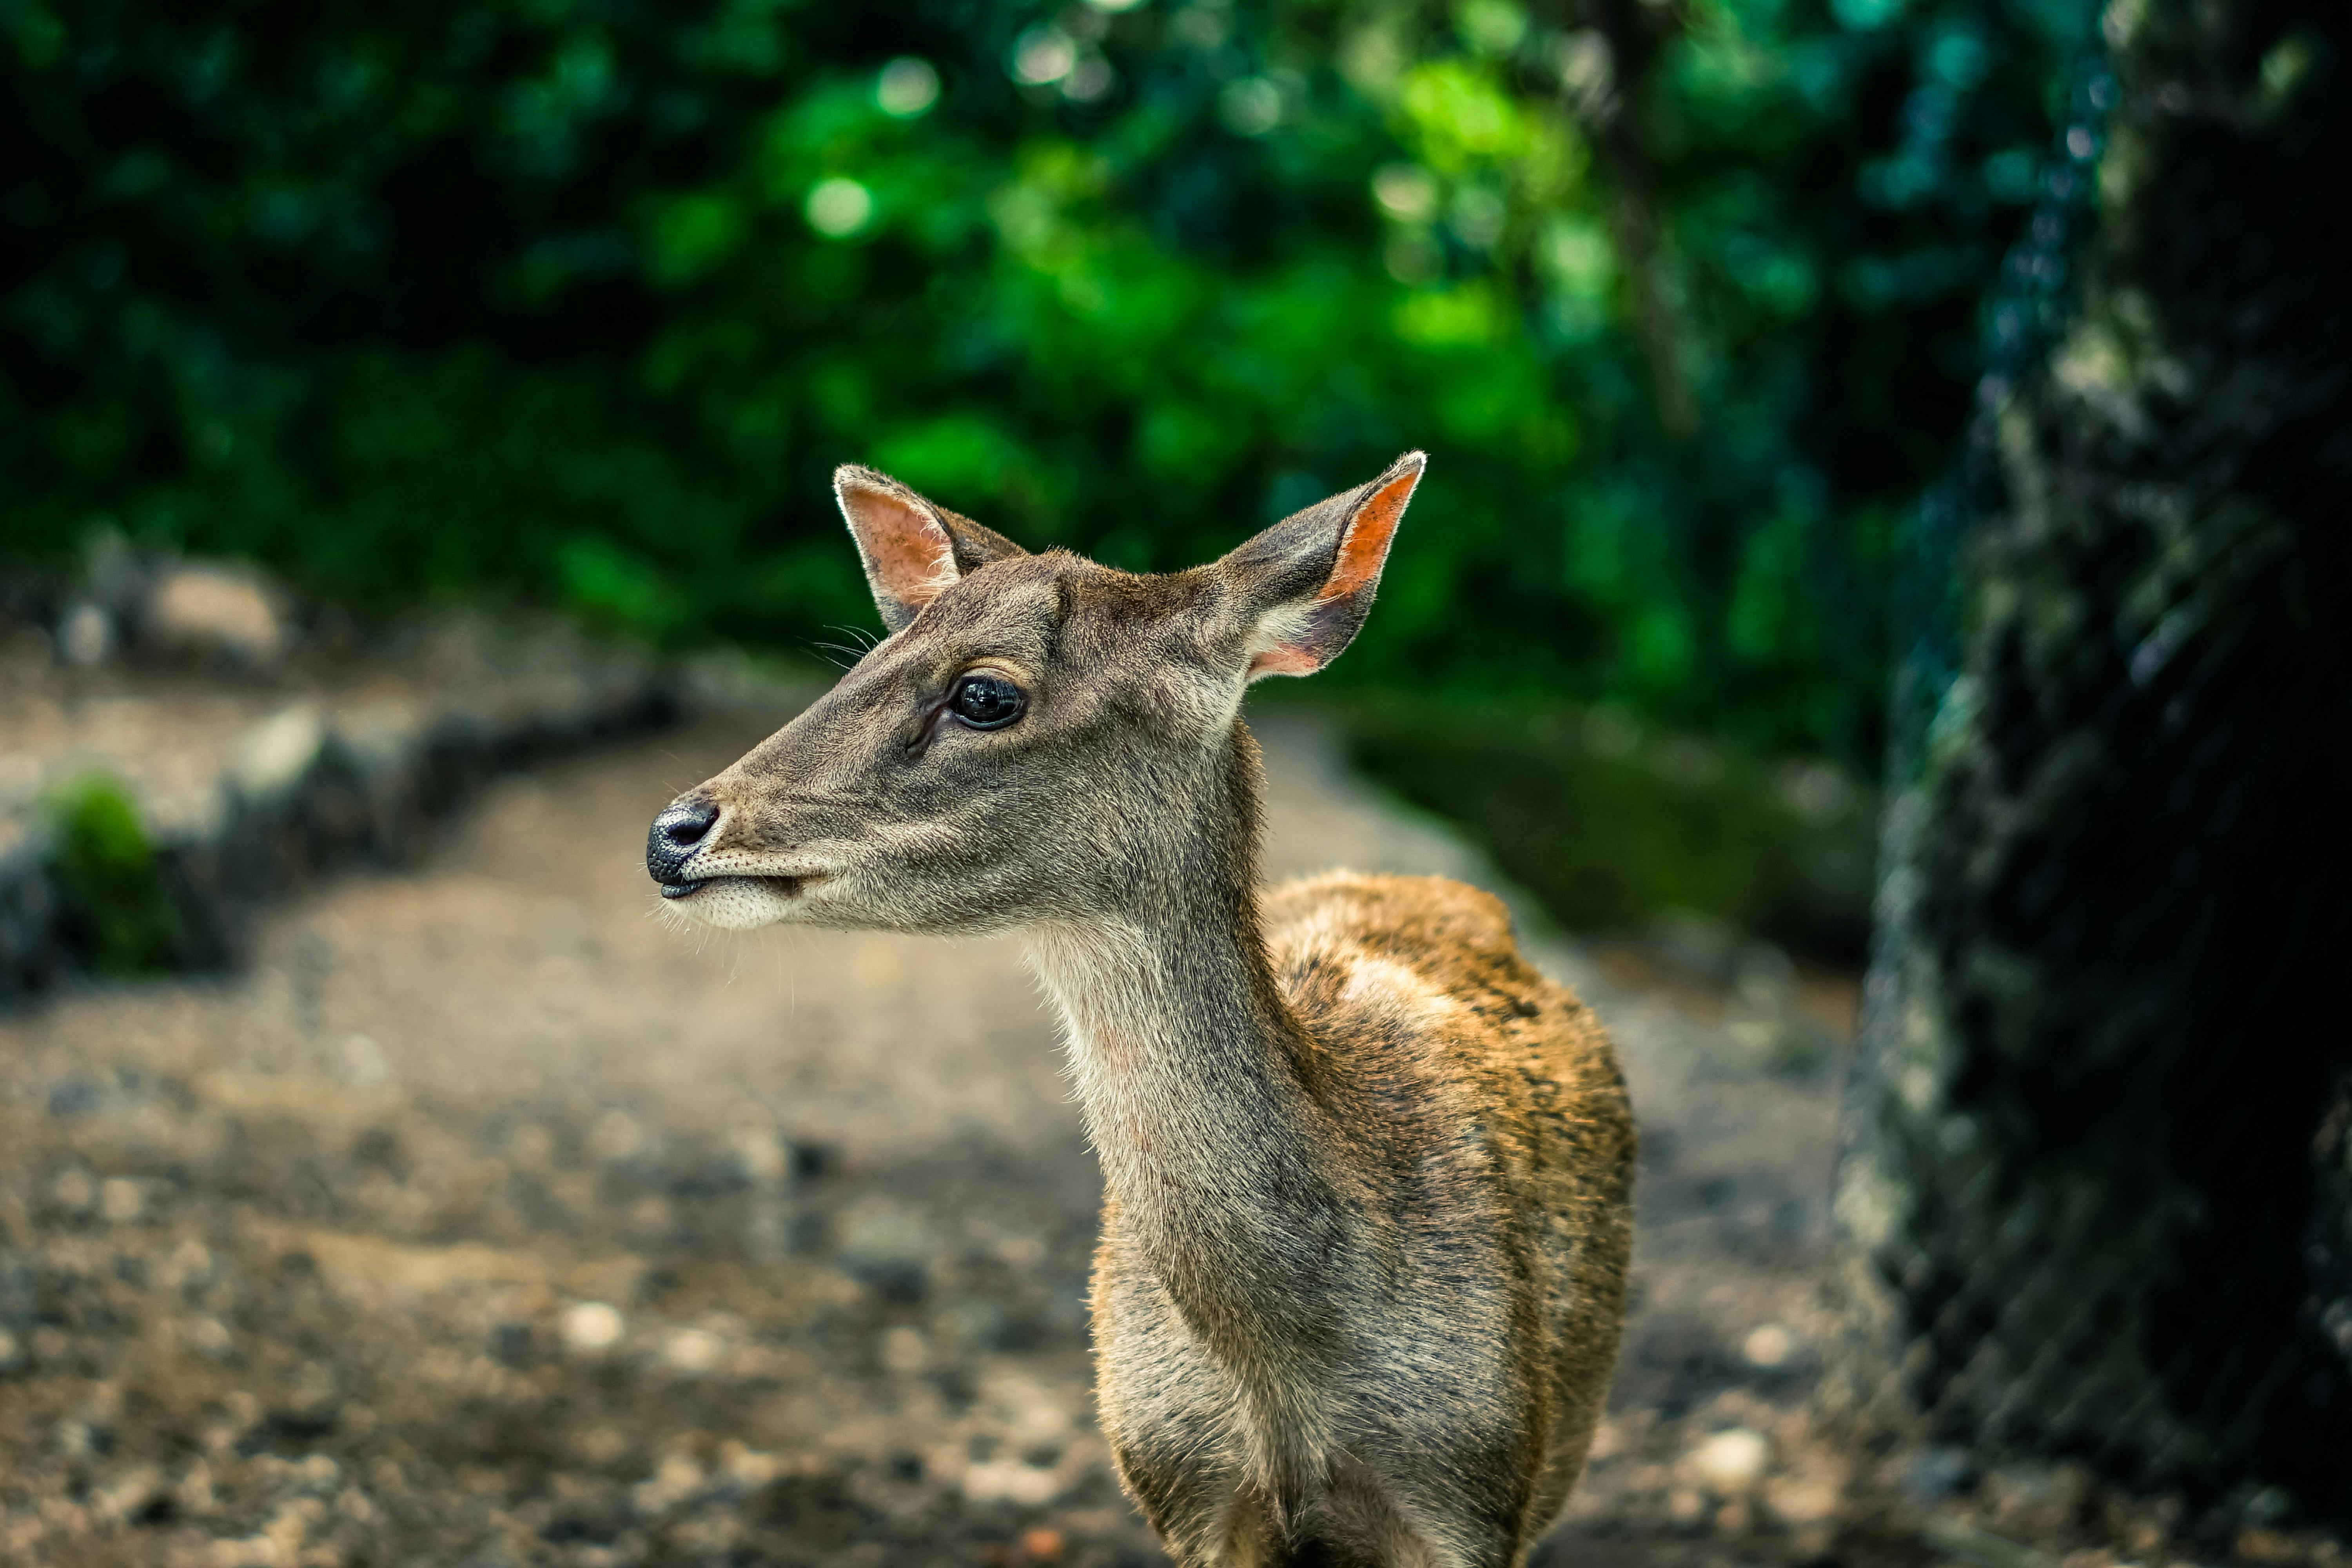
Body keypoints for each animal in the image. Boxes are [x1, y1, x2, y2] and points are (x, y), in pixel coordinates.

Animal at [644, 451, 1637, 1561]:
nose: (675, 830)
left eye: (984, 692)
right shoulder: (1177, 1479)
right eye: (864, 658)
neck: (1288, 1368)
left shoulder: (1472, 1483)